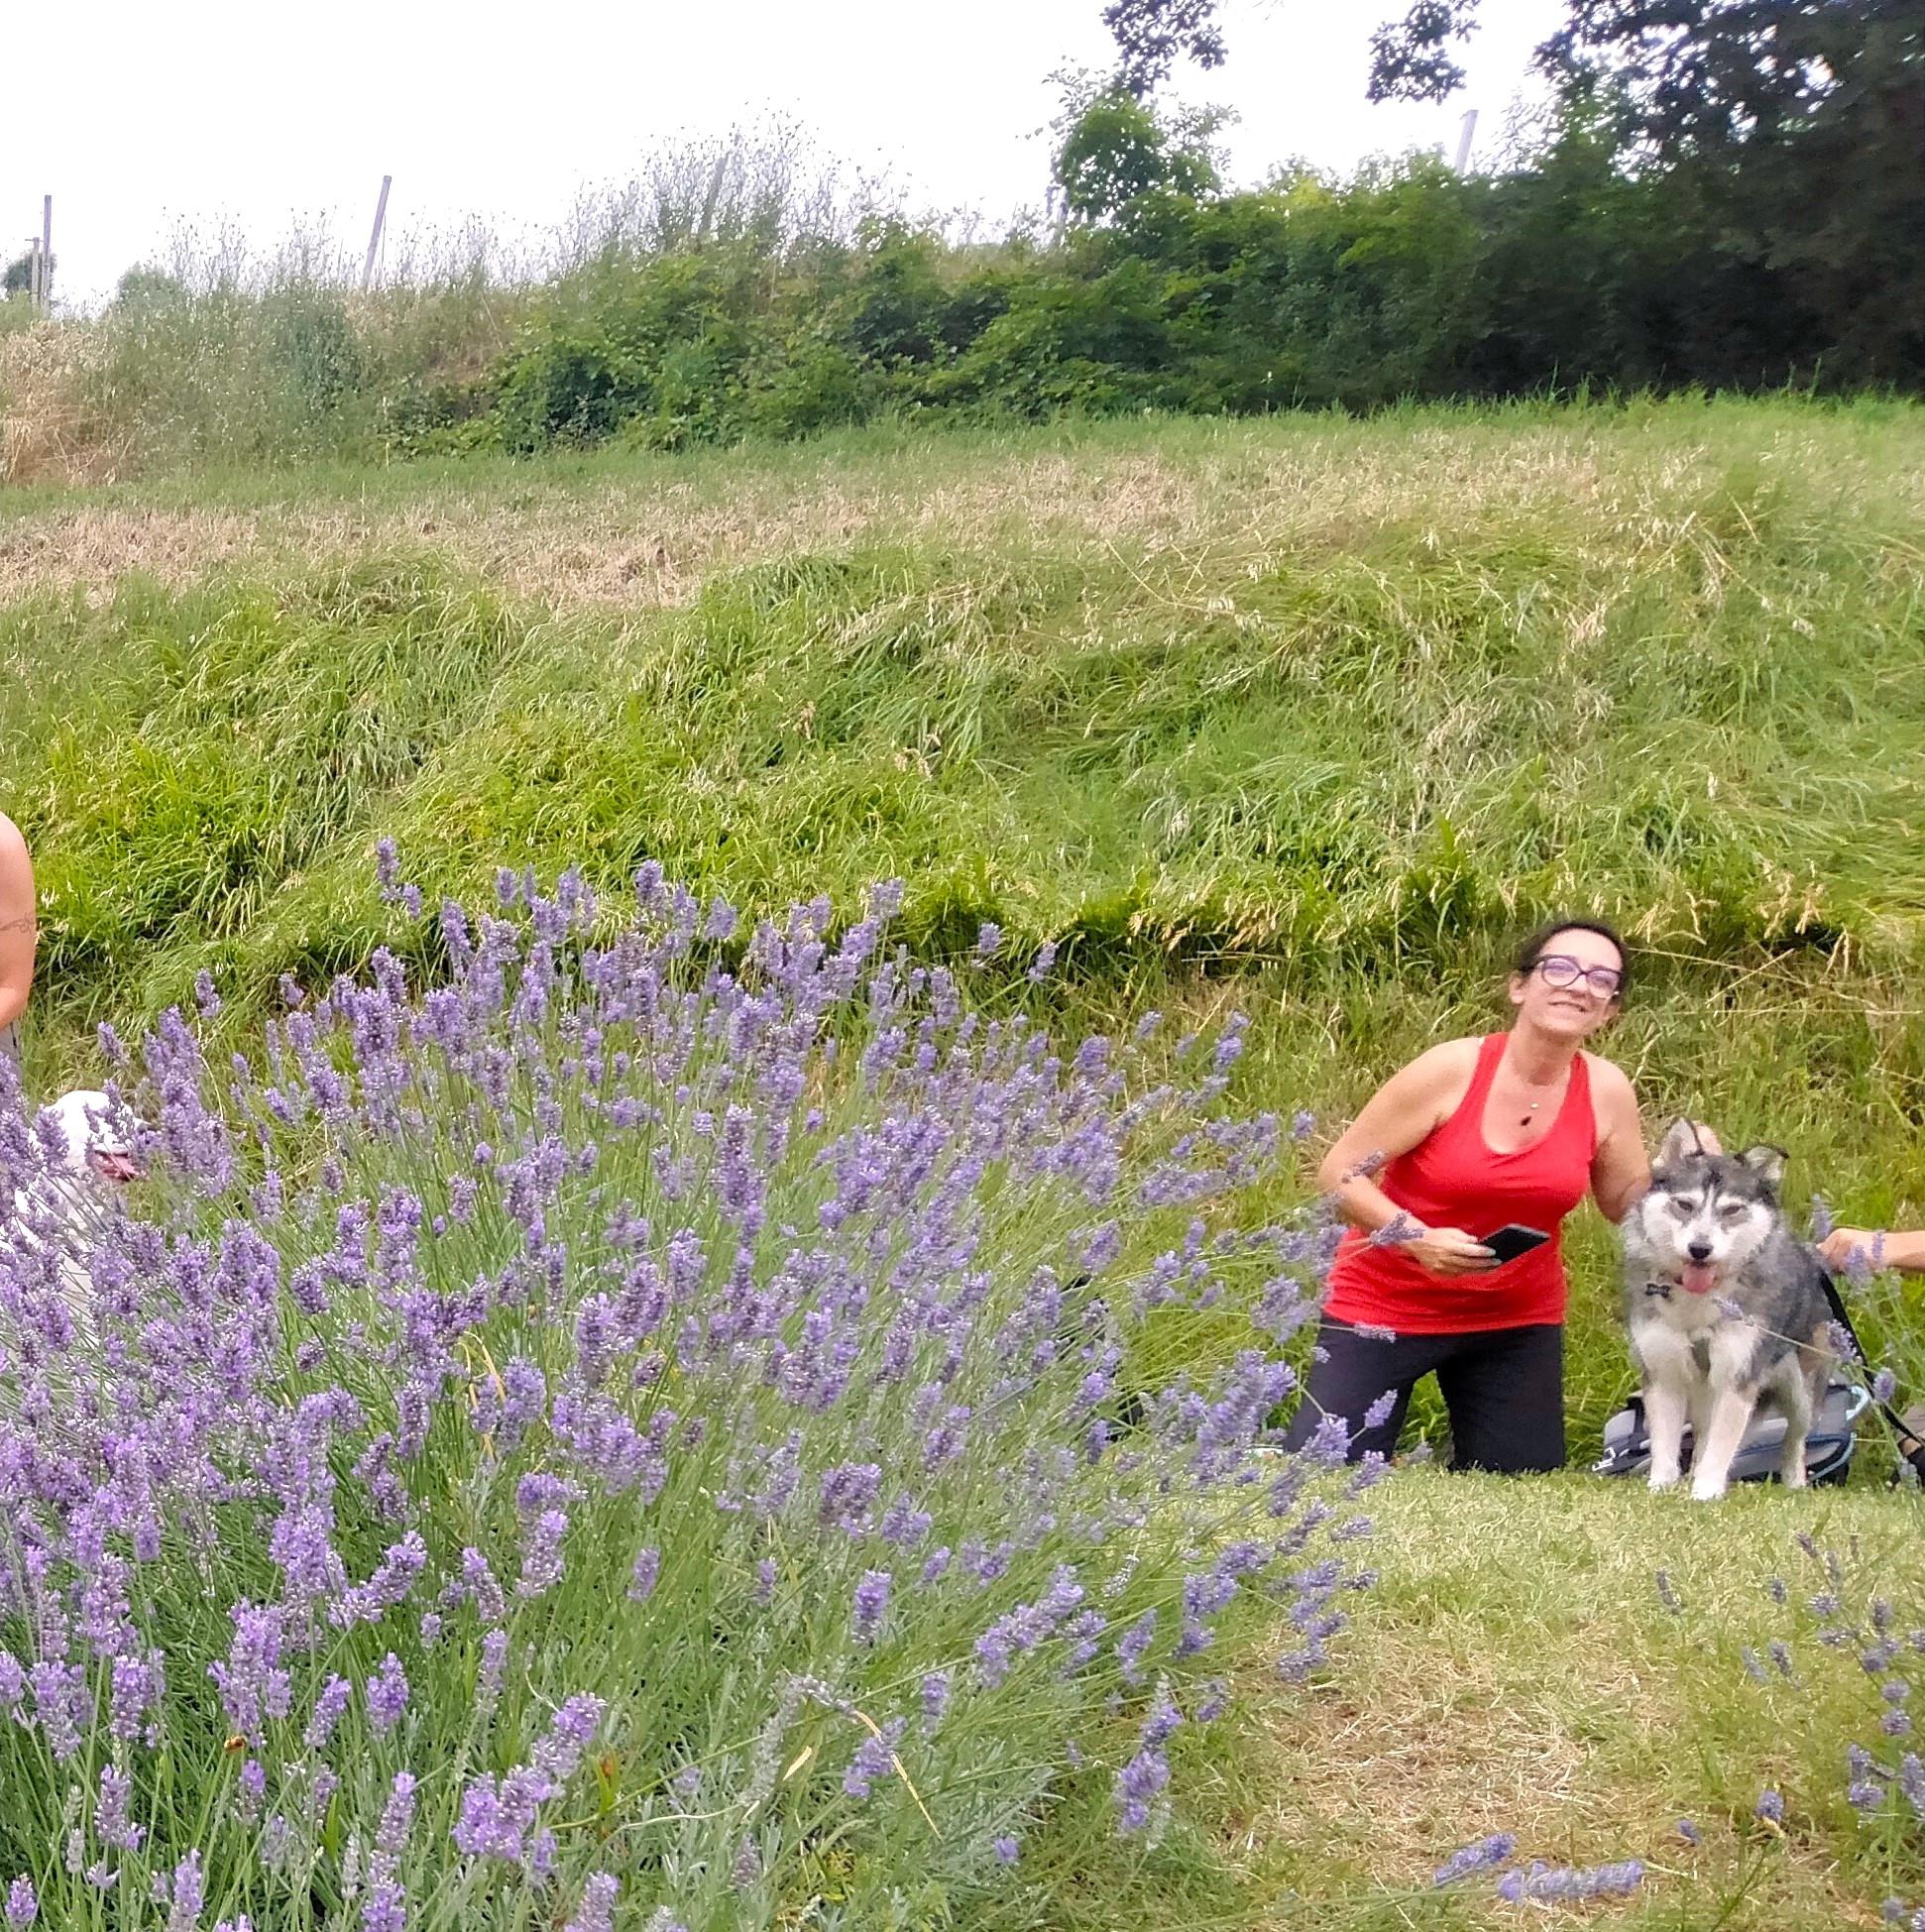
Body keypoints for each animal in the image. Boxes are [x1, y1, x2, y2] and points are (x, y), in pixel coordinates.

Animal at [1616, 1120, 1824, 1507]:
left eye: (1731, 1210)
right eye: (1684, 1205)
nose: (1700, 1249)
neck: (1697, 1301)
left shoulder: (1736, 1377)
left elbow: (1721, 1445)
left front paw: (1707, 1490)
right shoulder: (1663, 1373)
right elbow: (1666, 1443)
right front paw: (1662, 1486)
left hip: (1801, 1392)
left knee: (1795, 1439)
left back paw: (1794, 1481)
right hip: (1702, 1391)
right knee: (1701, 1434)